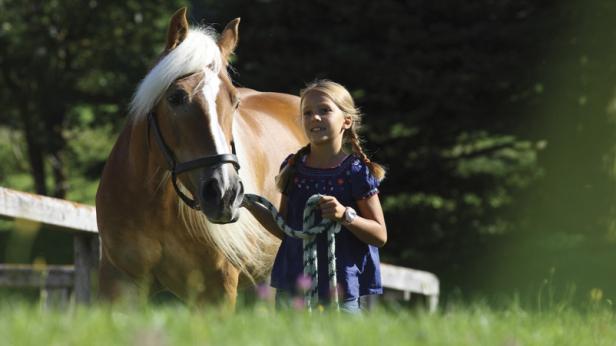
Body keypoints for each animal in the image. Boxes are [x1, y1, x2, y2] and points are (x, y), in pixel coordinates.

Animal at [95, 7, 306, 306]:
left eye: (234, 102)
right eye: (176, 97)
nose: (225, 193)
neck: (156, 207)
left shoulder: (215, 292)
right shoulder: (118, 284)